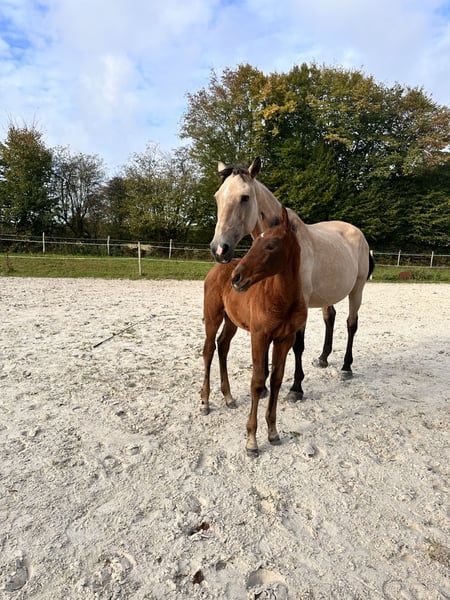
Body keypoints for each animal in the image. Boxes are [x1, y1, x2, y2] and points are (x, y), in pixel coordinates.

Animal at [200, 207, 307, 456]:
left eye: (271, 245)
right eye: (254, 242)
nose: (237, 278)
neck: (281, 299)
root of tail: (220, 267)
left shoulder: (284, 339)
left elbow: (276, 380)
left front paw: (273, 433)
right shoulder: (259, 337)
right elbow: (258, 383)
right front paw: (251, 440)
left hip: (231, 320)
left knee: (222, 346)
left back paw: (228, 397)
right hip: (213, 316)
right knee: (209, 350)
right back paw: (205, 402)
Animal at [210, 157, 374, 402]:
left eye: (245, 197)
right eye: (218, 197)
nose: (219, 249)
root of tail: (358, 234)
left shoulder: (299, 303)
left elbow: (298, 345)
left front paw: (296, 388)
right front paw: (265, 387)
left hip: (357, 290)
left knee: (351, 324)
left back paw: (346, 367)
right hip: (328, 294)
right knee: (330, 318)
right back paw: (323, 358)